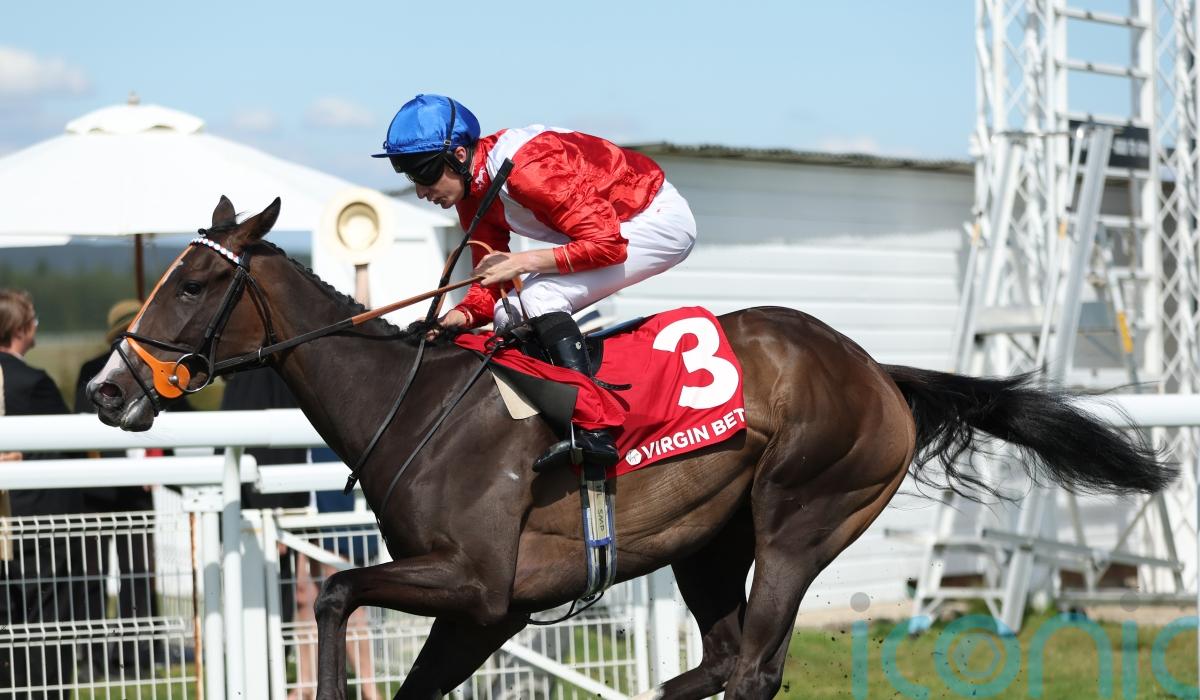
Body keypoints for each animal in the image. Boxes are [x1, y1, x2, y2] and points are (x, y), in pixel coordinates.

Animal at [86, 196, 1172, 700]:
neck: (416, 403)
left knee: (756, 666)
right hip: (709, 543)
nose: (107, 389)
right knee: (723, 659)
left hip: (801, 517)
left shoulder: (474, 582)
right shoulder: (488, 612)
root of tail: (877, 370)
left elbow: (338, 589)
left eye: (193, 282)